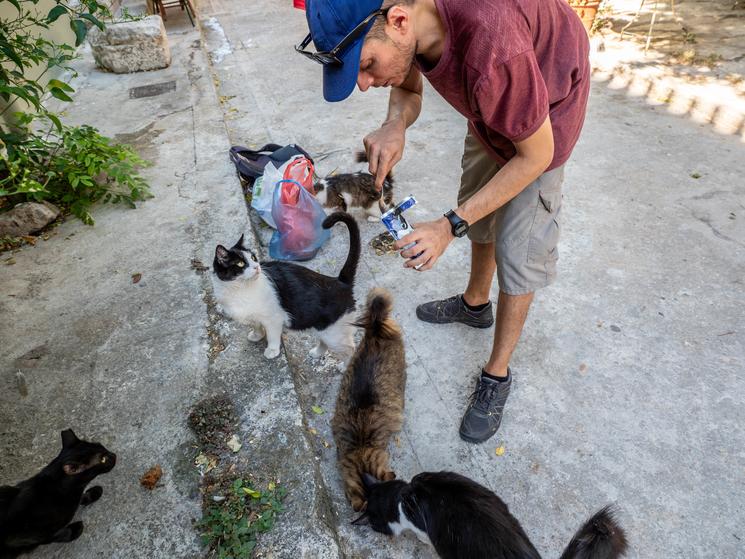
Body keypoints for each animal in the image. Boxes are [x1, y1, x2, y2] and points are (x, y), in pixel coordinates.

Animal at [212, 211, 360, 364]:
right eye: (241, 264)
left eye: (253, 258)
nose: (257, 267)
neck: (240, 289)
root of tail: (340, 281)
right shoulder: (253, 316)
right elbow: (256, 325)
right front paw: (257, 335)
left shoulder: (274, 318)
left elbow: (272, 336)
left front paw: (272, 351)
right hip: (323, 329)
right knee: (325, 341)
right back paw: (317, 353)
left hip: (334, 333)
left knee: (351, 350)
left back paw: (346, 367)